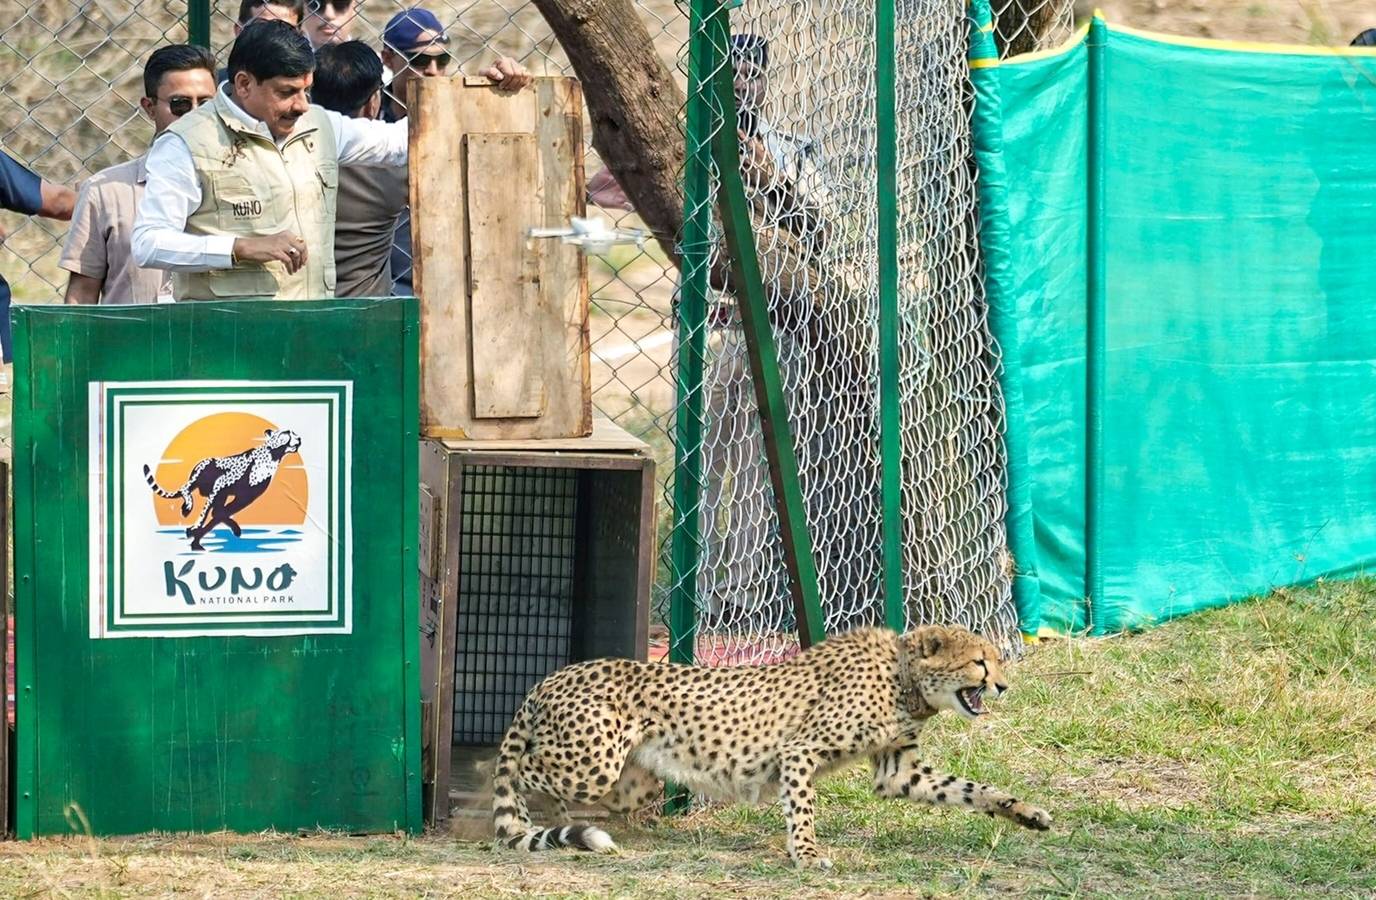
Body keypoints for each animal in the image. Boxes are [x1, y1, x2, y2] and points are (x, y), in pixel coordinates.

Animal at [143, 428, 302, 550]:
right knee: (185, 489)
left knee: (215, 508)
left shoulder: (246, 496)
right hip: (205, 469)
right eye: (287, 432)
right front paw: (195, 528)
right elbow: (206, 512)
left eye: (294, 433)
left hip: (221, 494)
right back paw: (187, 506)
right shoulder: (220, 484)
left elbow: (220, 513)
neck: (273, 456)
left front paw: (197, 535)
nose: (299, 438)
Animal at [491, 623, 1051, 868]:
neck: (903, 677)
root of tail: (552, 676)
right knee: (517, 767)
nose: (1004, 686)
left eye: (996, 660)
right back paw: (520, 815)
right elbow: (802, 808)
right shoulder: (799, 751)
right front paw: (807, 854)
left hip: (631, 781)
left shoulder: (899, 771)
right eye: (980, 663)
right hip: (592, 764)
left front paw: (1025, 812)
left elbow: (973, 789)